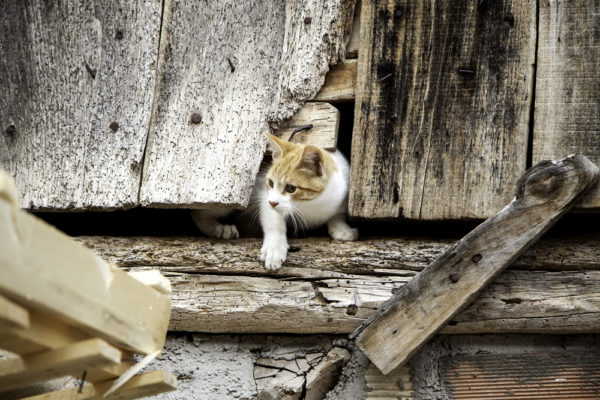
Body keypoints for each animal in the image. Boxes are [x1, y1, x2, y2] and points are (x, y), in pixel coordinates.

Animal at [191, 134, 356, 268]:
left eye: (291, 188)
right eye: (270, 183)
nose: (272, 202)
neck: (312, 204)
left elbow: (338, 214)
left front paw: (342, 229)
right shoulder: (264, 195)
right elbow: (274, 222)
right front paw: (274, 249)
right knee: (199, 213)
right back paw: (219, 228)